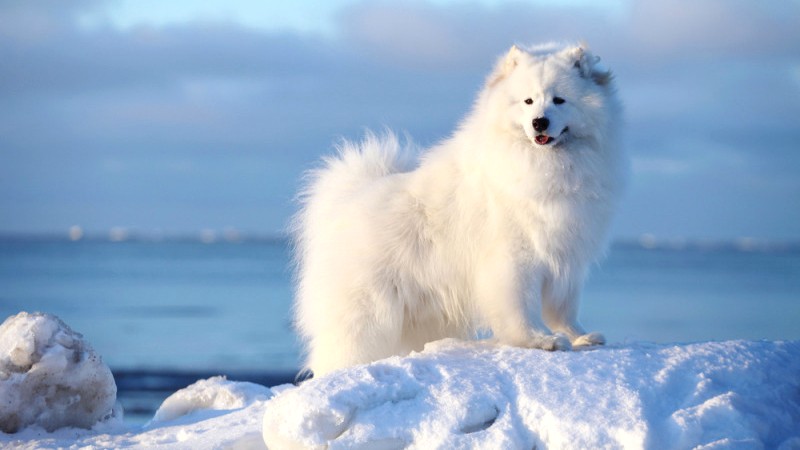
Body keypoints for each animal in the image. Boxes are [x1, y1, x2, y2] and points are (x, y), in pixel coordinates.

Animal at [294, 44, 624, 378]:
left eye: (559, 100)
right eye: (528, 101)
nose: (539, 122)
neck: (548, 164)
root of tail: (350, 197)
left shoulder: (567, 257)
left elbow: (564, 308)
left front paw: (579, 335)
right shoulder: (516, 259)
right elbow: (521, 307)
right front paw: (539, 340)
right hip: (367, 315)